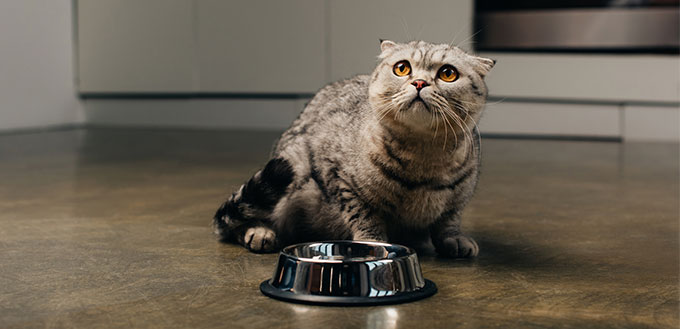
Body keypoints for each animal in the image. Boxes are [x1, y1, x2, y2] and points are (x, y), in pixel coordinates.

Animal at [215, 40, 496, 256]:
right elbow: (363, 215)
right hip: (290, 168)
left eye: (448, 73)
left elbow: (448, 220)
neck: (423, 156)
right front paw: (372, 241)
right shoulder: (339, 178)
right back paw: (259, 231)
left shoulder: (459, 196)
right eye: (402, 68)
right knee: (237, 220)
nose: (418, 83)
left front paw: (453, 239)